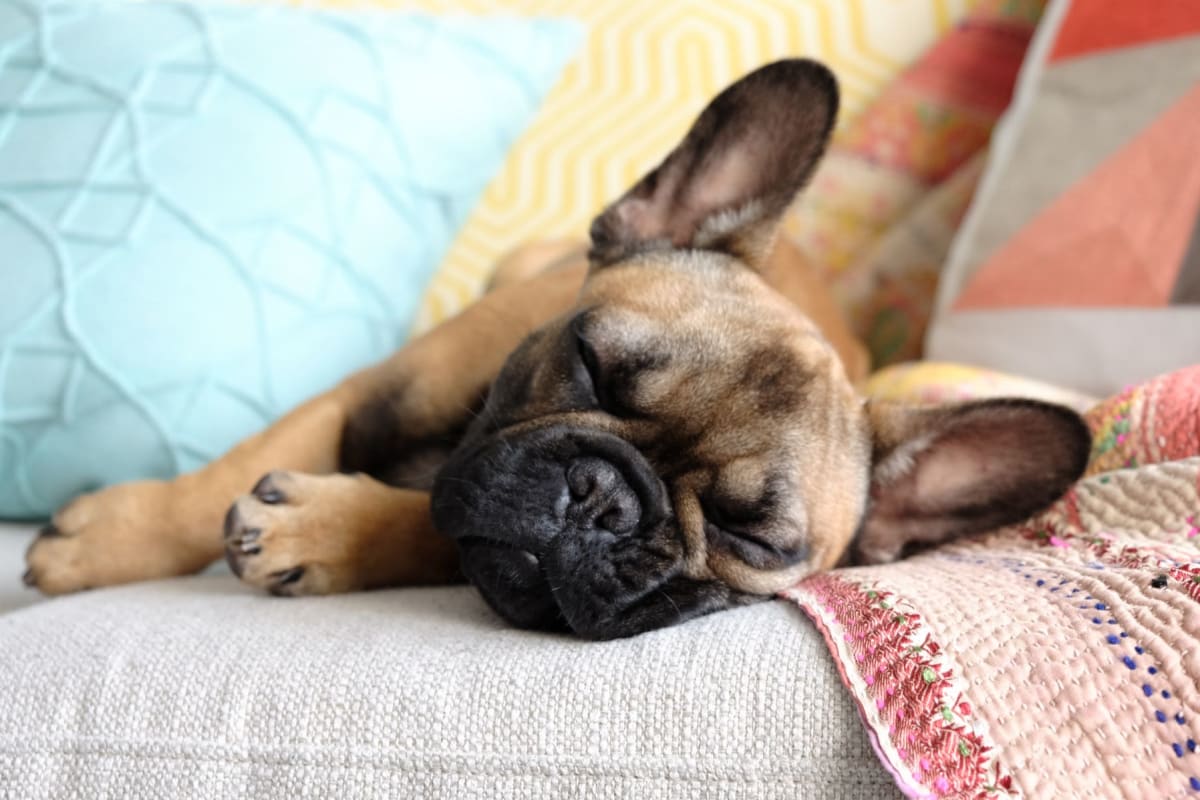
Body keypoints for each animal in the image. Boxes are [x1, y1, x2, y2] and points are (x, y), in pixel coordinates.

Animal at [18, 61, 1094, 638]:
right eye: (588, 362)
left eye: (752, 538)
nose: (605, 498)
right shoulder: (370, 392)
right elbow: (229, 470)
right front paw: (108, 539)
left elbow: (430, 523)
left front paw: (318, 531)